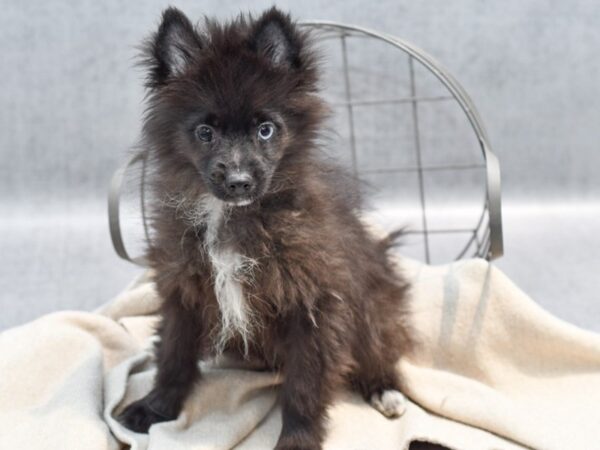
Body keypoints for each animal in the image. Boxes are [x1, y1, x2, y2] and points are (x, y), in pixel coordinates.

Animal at [119, 7, 410, 450]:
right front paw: (155, 408)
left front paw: (297, 439)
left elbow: (304, 385)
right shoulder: (183, 289)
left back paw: (384, 390)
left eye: (266, 129)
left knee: (379, 349)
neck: (231, 215)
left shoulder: (314, 303)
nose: (239, 181)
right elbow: (173, 354)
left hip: (374, 309)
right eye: (205, 132)